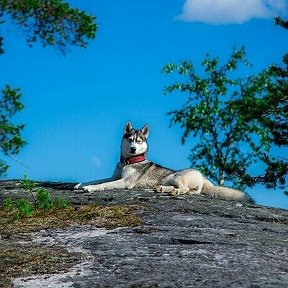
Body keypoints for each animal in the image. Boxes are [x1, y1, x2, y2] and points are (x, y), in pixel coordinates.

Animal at [75, 121, 253, 202]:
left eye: (139, 141)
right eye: (130, 139)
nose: (133, 149)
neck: (129, 161)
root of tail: (203, 176)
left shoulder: (125, 182)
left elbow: (104, 184)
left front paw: (90, 188)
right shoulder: (115, 176)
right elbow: (98, 179)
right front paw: (80, 184)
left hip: (177, 176)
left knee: (186, 189)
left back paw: (173, 192)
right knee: (193, 191)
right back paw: (162, 189)